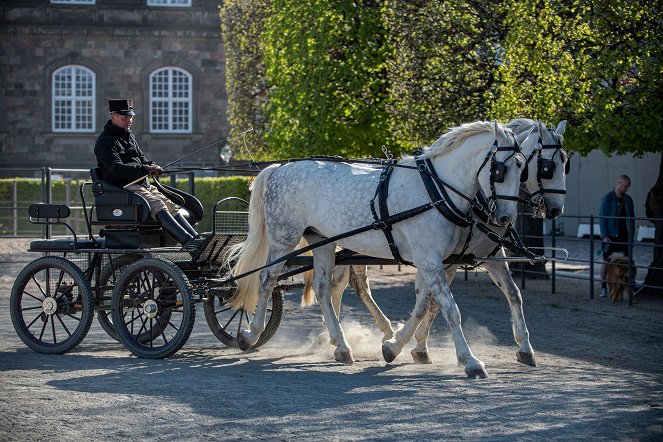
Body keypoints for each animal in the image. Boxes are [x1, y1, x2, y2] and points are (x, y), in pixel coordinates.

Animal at [228, 121, 540, 380]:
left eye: (523, 167)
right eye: (500, 170)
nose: (505, 218)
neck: (436, 190)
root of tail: (280, 168)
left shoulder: (438, 260)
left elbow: (428, 304)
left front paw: (395, 345)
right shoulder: (430, 259)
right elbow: (450, 308)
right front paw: (470, 361)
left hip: (324, 241)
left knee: (323, 289)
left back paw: (341, 346)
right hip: (284, 238)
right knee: (267, 281)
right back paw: (251, 334)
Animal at [308, 117, 568, 370]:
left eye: (566, 163)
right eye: (547, 167)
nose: (556, 210)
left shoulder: (487, 257)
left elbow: (511, 294)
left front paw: (525, 347)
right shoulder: (439, 259)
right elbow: (437, 304)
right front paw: (424, 348)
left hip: (339, 244)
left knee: (337, 285)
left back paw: (340, 337)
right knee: (341, 285)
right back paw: (339, 338)